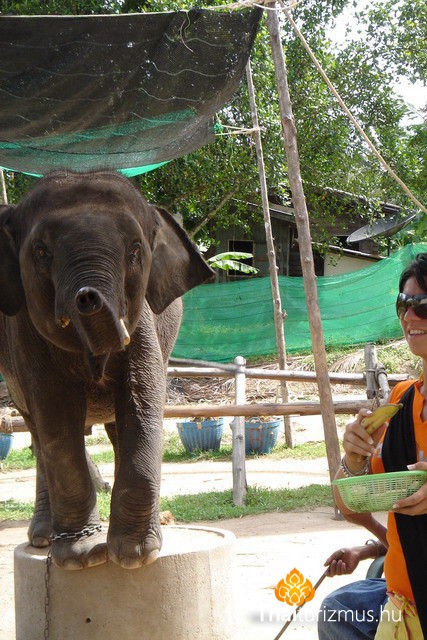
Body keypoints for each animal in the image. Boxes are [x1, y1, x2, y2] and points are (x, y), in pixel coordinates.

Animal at [0, 170, 214, 570]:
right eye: (41, 252)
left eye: (134, 251)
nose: (87, 296)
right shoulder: (25, 334)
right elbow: (56, 411)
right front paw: (81, 557)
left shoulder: (143, 322)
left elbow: (141, 399)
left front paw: (134, 556)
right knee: (38, 432)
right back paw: (43, 540)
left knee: (116, 430)